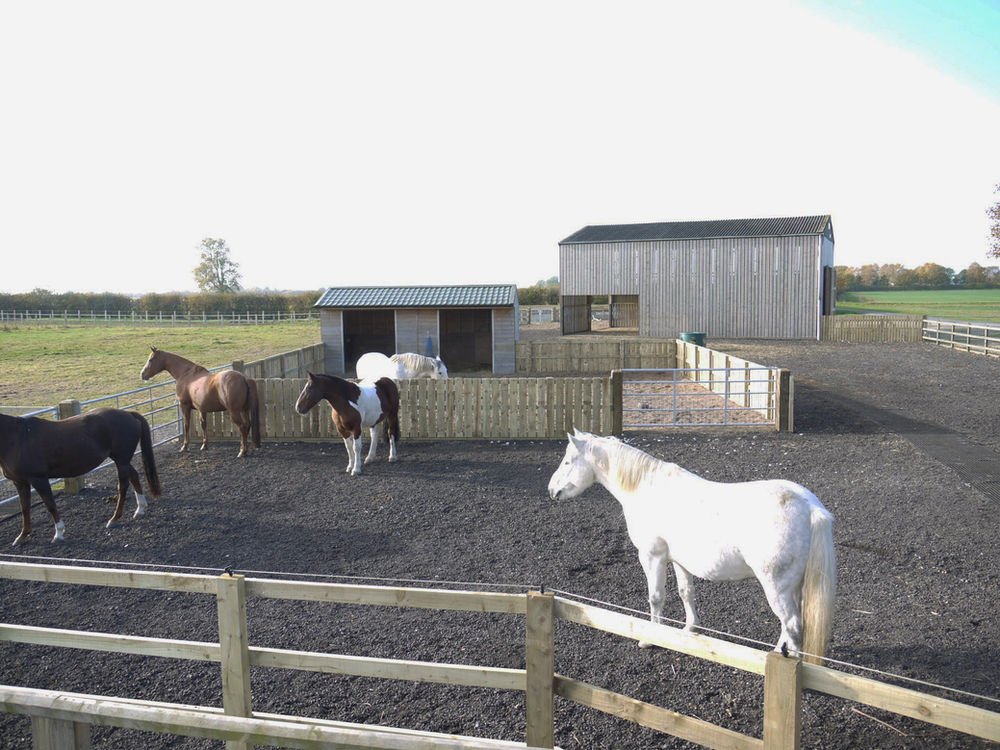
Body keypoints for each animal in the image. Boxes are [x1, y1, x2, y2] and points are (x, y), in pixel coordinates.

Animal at [0, 408, 162, 545]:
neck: (17, 439)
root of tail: (129, 414)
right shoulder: (20, 482)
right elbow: (25, 508)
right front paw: (22, 536)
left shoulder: (38, 479)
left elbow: (50, 505)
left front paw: (59, 534)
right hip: (122, 460)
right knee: (133, 476)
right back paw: (140, 509)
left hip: (121, 461)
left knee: (123, 487)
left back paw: (114, 519)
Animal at [547, 430, 836, 664]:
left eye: (567, 461)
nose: (551, 490)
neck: (646, 488)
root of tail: (810, 507)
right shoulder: (679, 561)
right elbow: (686, 593)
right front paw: (689, 630)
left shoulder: (652, 558)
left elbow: (656, 597)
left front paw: (650, 638)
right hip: (794, 587)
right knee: (791, 625)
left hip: (777, 586)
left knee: (792, 625)